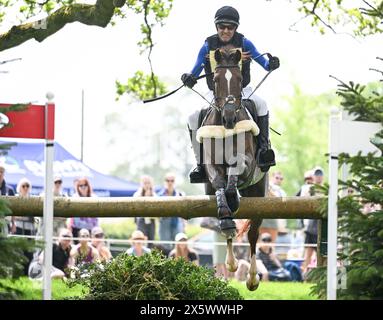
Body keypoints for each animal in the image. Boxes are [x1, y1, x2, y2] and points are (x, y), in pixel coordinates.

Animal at [195, 44, 268, 290]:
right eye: (216, 79)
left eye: (239, 78)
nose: (228, 118)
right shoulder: (211, 164)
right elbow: (220, 183)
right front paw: (227, 215)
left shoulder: (247, 162)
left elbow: (234, 173)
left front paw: (233, 198)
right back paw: (231, 262)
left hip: (259, 193)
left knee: (254, 233)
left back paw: (252, 278)